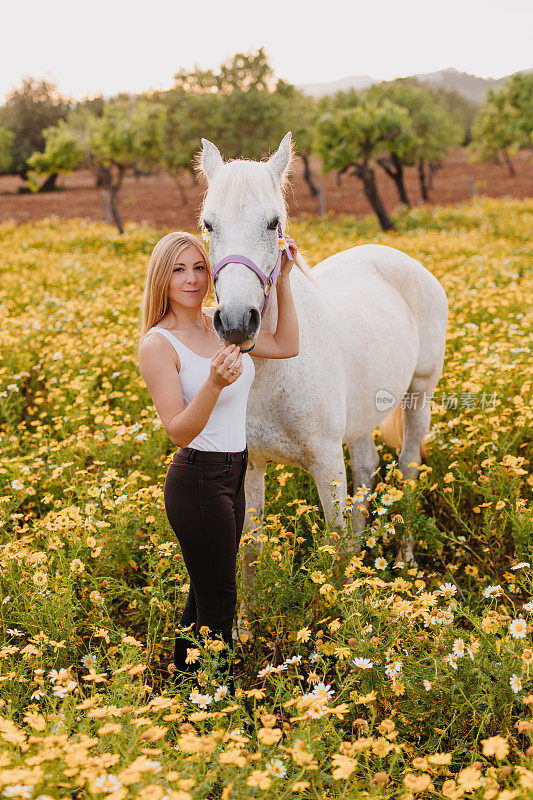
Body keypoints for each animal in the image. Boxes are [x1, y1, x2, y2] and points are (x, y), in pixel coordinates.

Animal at [197, 134, 446, 612]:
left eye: (274, 223)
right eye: (208, 225)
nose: (236, 323)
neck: (273, 374)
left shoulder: (326, 462)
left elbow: (335, 543)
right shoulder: (251, 467)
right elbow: (251, 548)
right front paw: (243, 625)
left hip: (418, 395)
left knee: (407, 467)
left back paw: (403, 560)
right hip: (364, 414)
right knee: (368, 466)